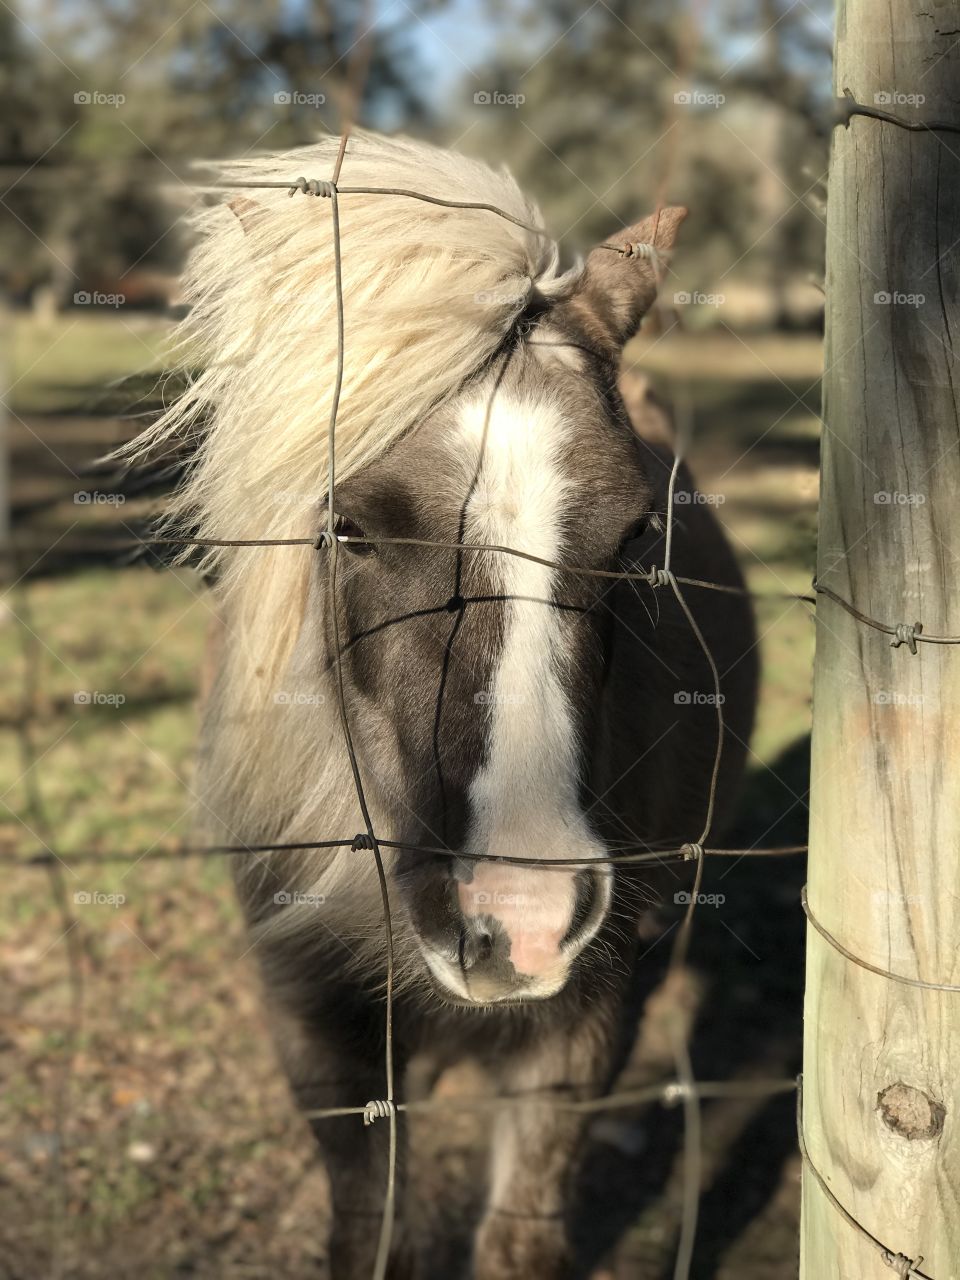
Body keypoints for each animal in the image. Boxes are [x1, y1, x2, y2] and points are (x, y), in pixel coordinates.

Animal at [129, 130, 758, 1279]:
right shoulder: (315, 1023)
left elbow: (518, 1236)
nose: (521, 918)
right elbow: (370, 1227)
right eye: (348, 528)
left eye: (639, 536)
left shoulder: (581, 1031)